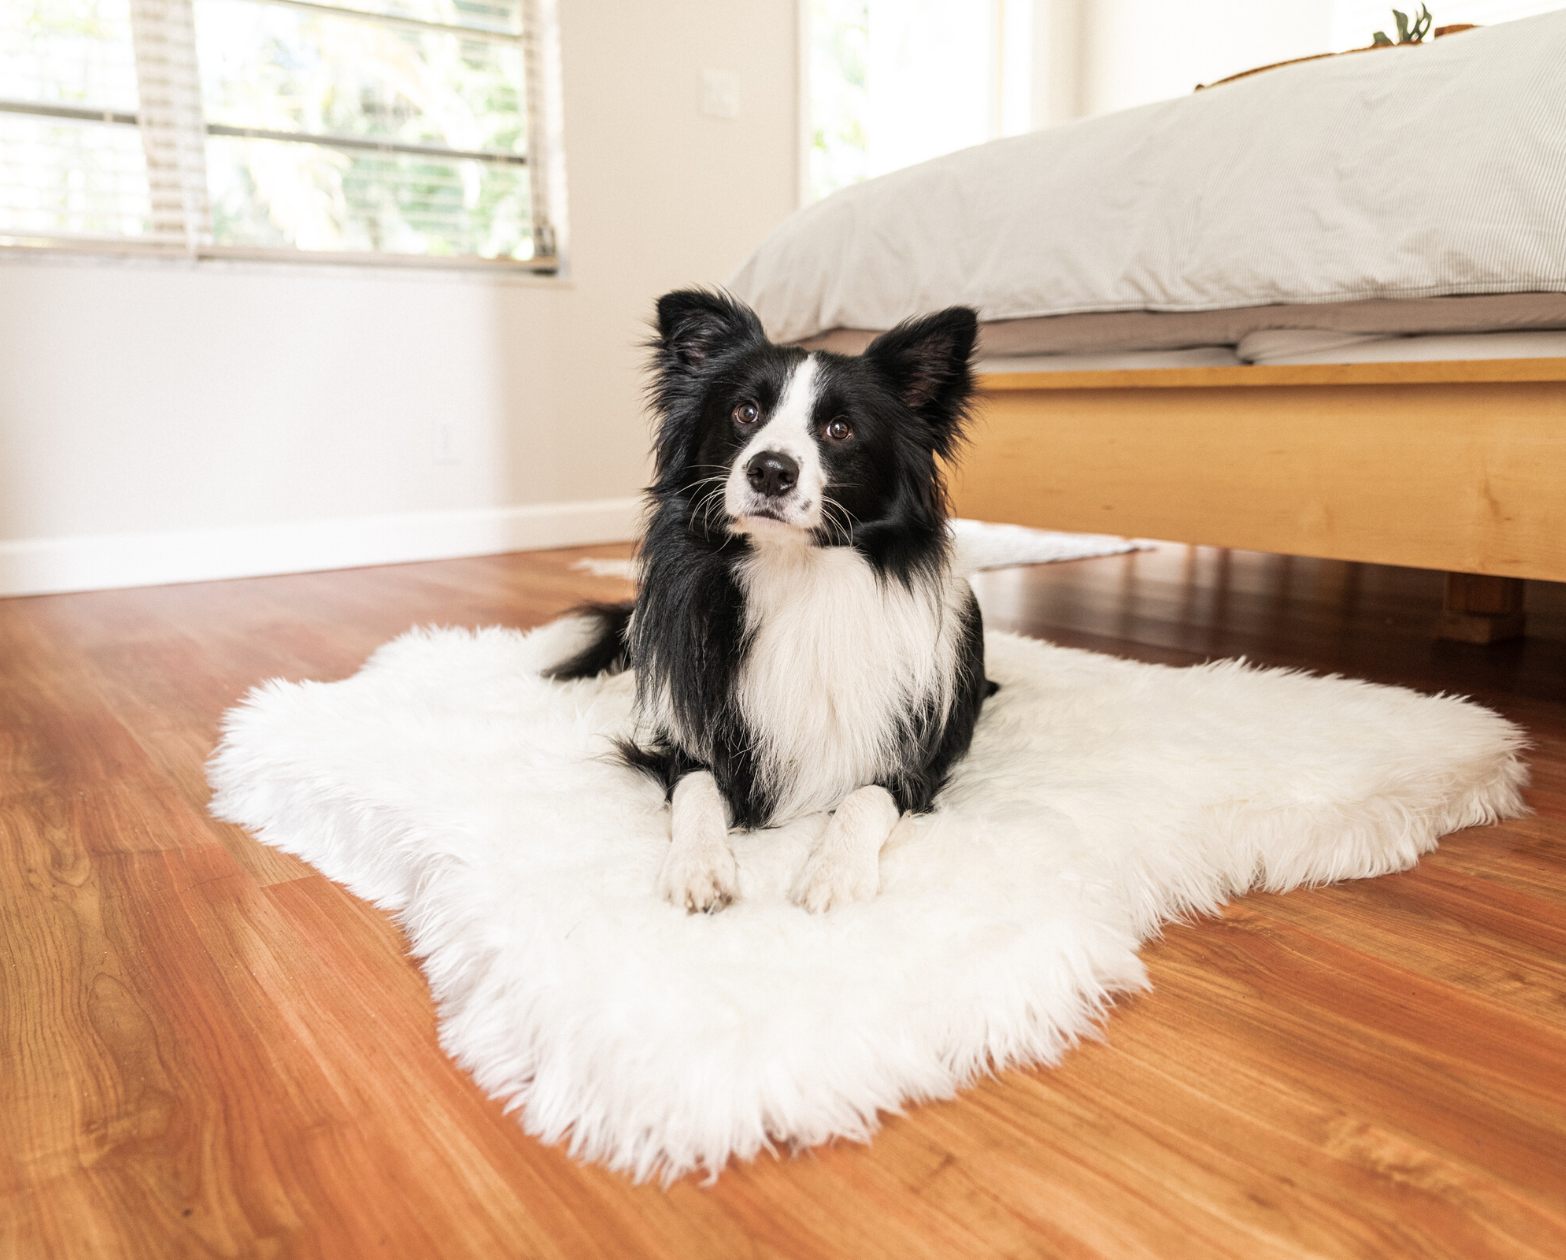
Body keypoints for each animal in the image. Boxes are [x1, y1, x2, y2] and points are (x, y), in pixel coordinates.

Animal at [544, 289, 995, 907]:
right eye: (746, 414)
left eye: (839, 428)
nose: (771, 470)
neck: (793, 576)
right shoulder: (690, 743)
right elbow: (697, 790)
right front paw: (698, 864)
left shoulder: (913, 761)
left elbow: (864, 798)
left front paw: (834, 872)